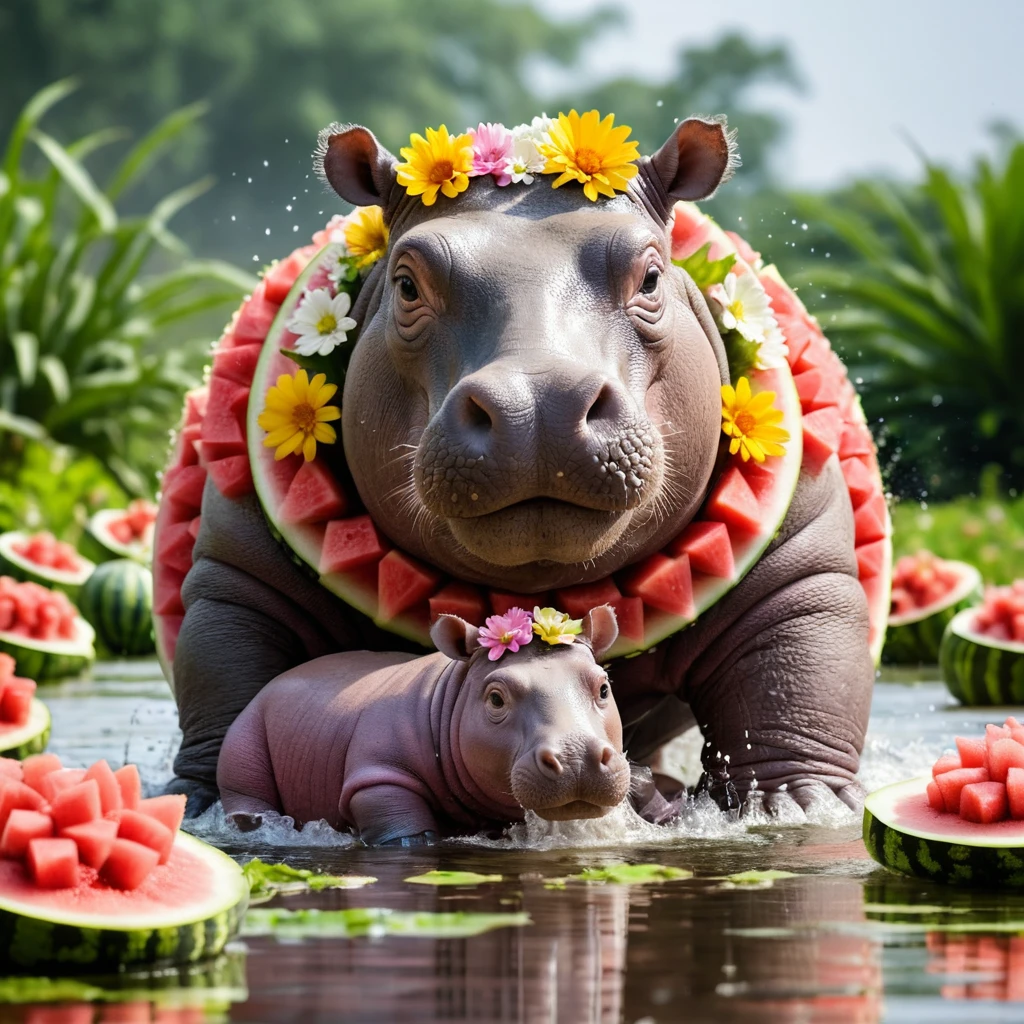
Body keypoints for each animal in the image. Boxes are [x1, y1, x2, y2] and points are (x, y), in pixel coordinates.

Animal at [217, 607, 629, 844]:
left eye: (604, 687)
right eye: (496, 698)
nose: (577, 758)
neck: (453, 692)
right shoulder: (378, 776)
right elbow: (402, 828)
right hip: (246, 731)